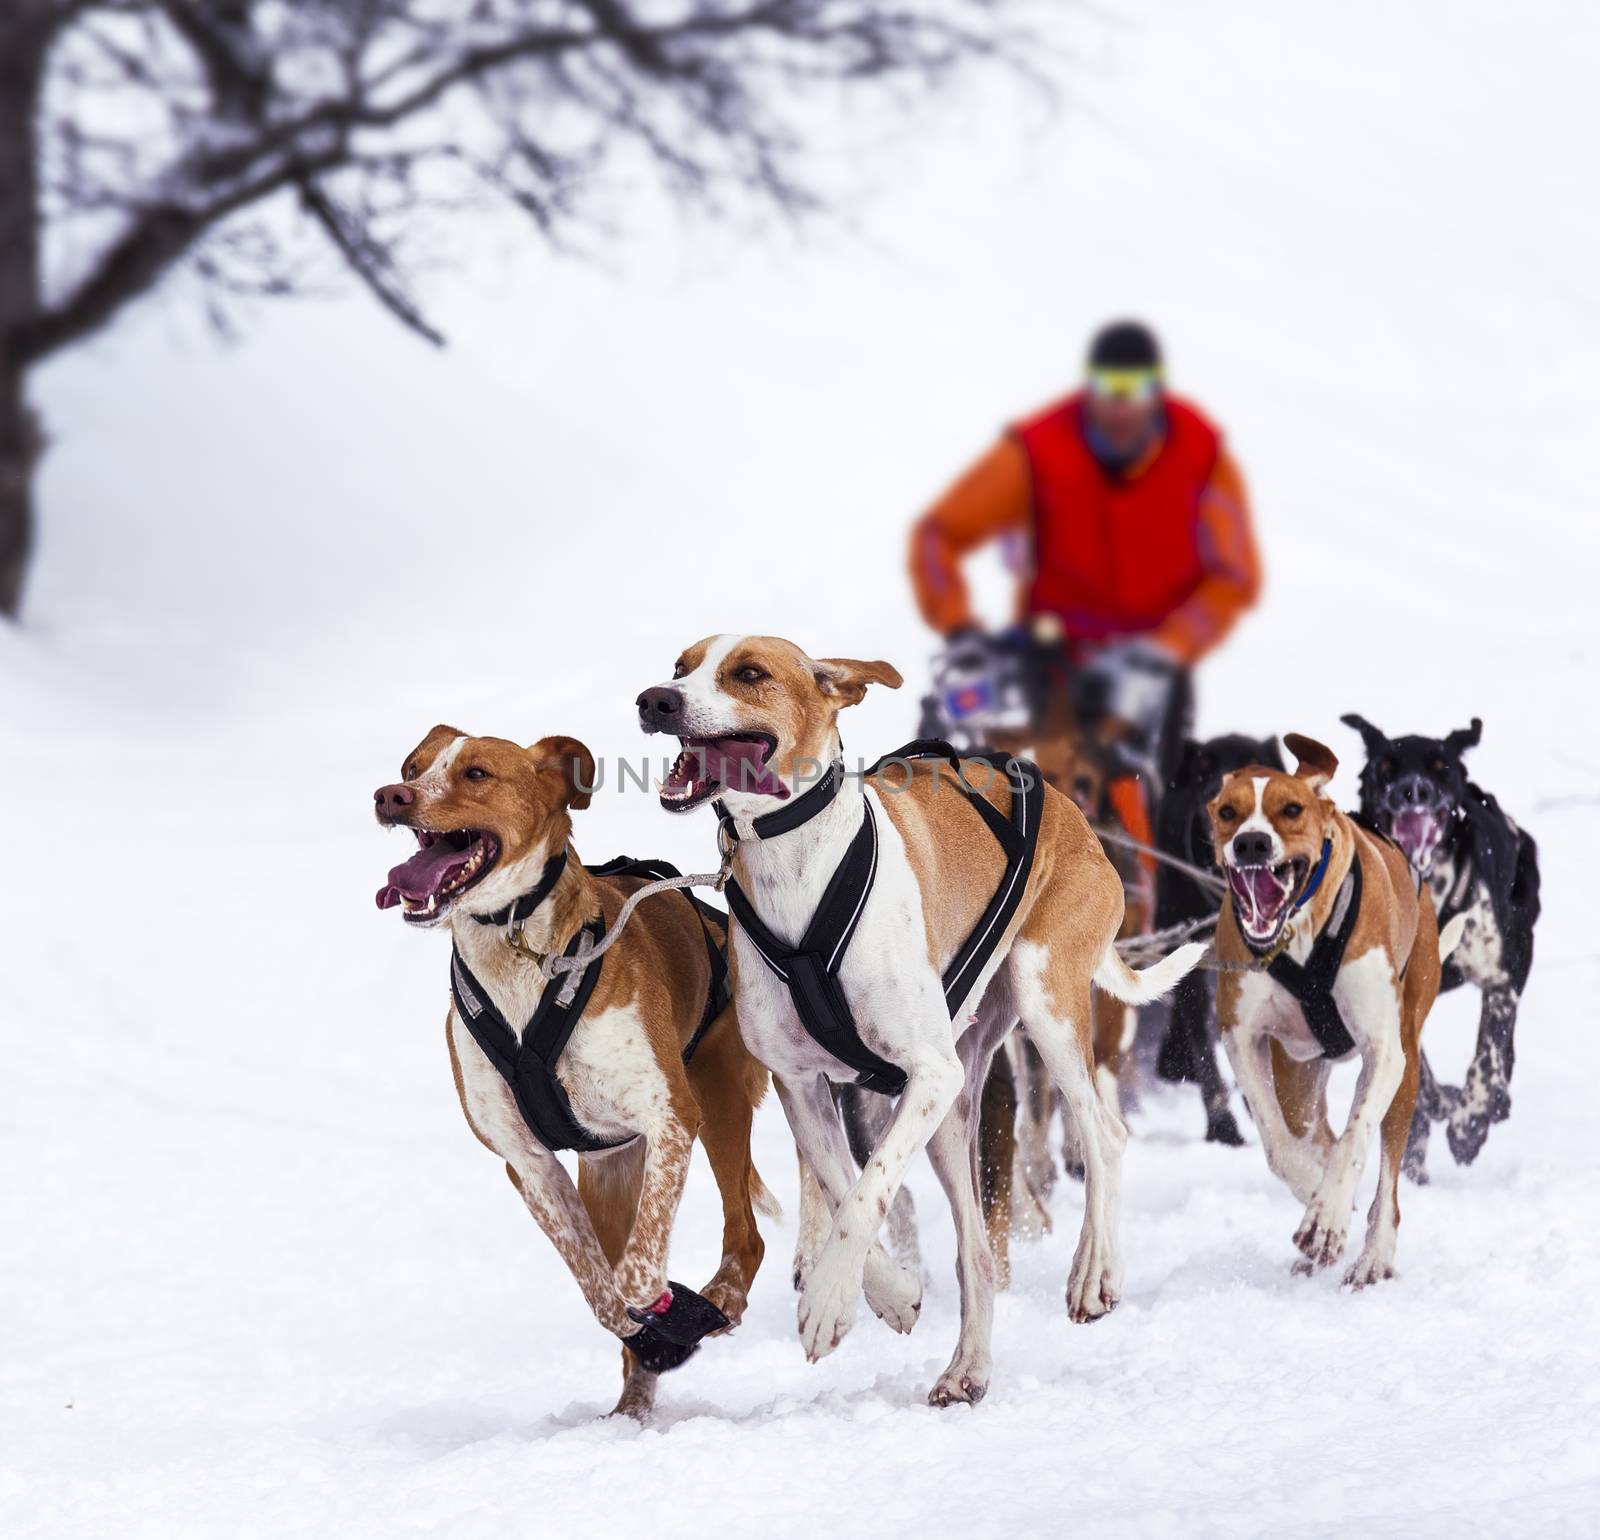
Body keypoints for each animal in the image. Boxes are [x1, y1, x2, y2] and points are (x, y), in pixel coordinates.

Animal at [374, 726, 774, 1421]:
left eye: (476, 773)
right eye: (414, 767)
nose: (391, 795)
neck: (516, 954)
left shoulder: (671, 1118)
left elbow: (634, 1276)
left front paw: (667, 1308)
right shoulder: (529, 1164)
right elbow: (599, 1289)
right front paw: (652, 1334)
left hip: (718, 1103)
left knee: (745, 1237)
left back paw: (719, 1300)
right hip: (609, 1173)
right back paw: (634, 1404)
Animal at [636, 630, 1203, 1395]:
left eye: (748, 673)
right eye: (680, 667)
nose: (654, 700)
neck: (797, 865)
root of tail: (1072, 813)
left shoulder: (928, 1075)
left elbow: (866, 1194)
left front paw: (828, 1302)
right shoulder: (804, 1086)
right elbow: (844, 1189)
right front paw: (890, 1295)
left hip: (1043, 1006)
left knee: (1104, 1134)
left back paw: (1095, 1273)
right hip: (956, 1113)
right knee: (978, 1253)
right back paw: (967, 1367)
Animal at [1203, 733, 1465, 1287]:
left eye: (1292, 809)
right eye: (1228, 812)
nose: (1251, 843)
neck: (1300, 931)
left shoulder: (1384, 1051)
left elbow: (1354, 1139)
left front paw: (1326, 1217)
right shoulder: (1242, 1035)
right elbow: (1279, 1144)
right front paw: (1316, 1196)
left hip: (1406, 1065)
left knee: (1385, 1174)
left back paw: (1374, 1256)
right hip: (1299, 1079)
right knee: (1313, 1132)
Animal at [1344, 713, 1542, 1171]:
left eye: (1440, 767)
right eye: (1385, 767)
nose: (1412, 790)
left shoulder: (1500, 980)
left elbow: (1488, 1059)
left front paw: (1470, 1122)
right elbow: (1421, 1079)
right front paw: (1439, 1109)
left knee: (1503, 1057)